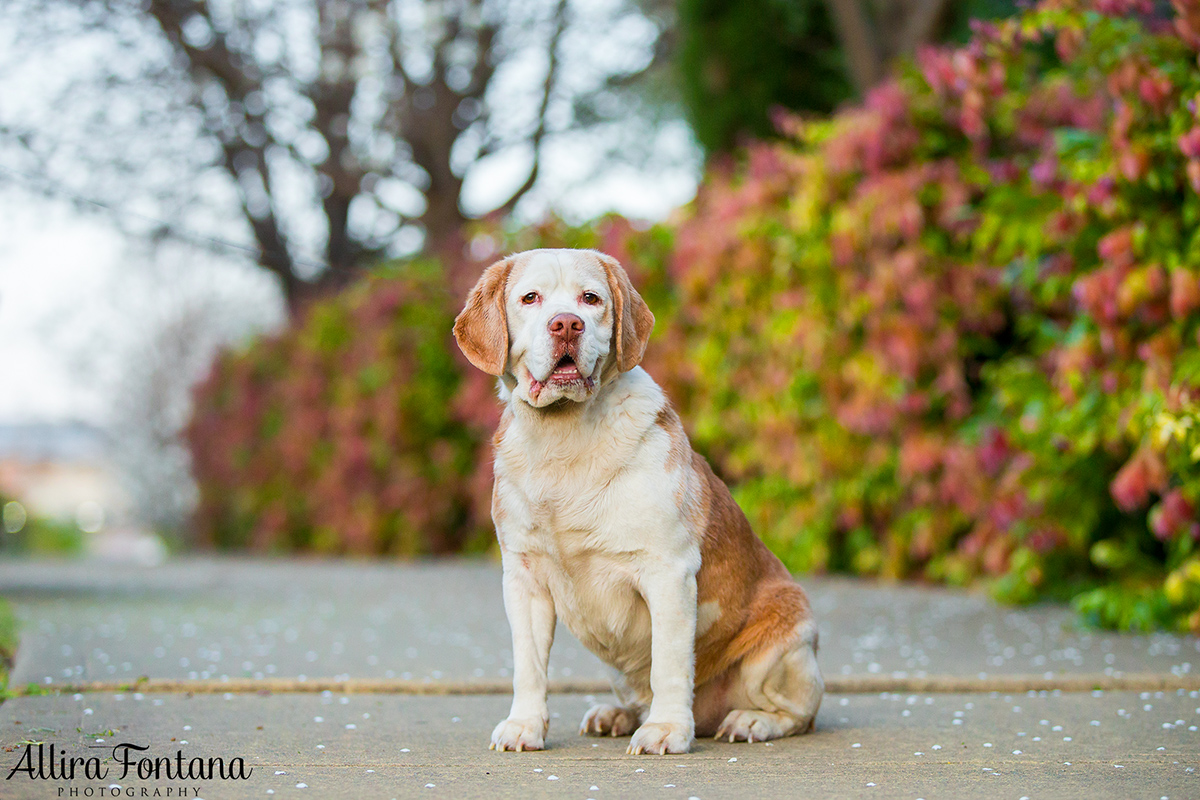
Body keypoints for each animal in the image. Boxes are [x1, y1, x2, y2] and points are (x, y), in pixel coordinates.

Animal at [453, 250, 820, 758]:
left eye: (591, 299)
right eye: (531, 298)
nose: (567, 324)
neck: (564, 443)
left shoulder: (668, 572)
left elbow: (668, 664)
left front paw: (667, 730)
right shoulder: (523, 579)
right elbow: (529, 666)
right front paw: (524, 726)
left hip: (783, 646)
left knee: (795, 714)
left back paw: (749, 721)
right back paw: (617, 715)